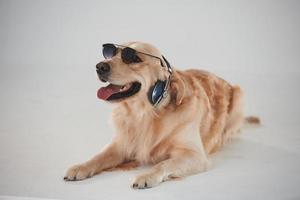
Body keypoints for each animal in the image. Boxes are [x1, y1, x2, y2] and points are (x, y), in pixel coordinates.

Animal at [63, 41, 260, 188]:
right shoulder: (120, 144)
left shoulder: (195, 155)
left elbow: (163, 163)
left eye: (133, 58)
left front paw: (145, 176)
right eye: (110, 53)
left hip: (240, 94)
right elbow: (98, 156)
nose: (100, 66)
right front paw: (80, 167)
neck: (145, 114)